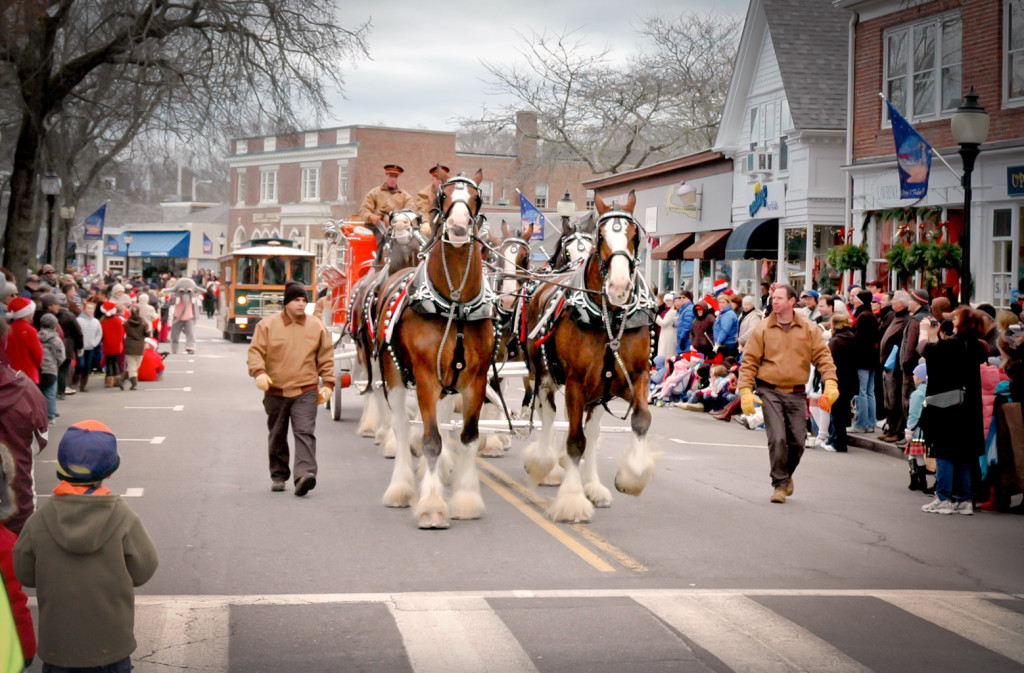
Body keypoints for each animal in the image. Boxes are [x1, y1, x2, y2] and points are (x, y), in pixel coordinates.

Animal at [374, 171, 493, 528]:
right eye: (443, 195)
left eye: (477, 196)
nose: (458, 226)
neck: (455, 302)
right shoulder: (425, 378)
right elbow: (430, 440)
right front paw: (431, 506)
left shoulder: (476, 379)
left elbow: (468, 437)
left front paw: (466, 499)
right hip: (394, 375)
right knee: (401, 427)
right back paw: (401, 487)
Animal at [520, 191, 655, 522]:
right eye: (602, 236)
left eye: (634, 235)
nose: (619, 286)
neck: (610, 318)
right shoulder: (576, 383)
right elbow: (574, 440)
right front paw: (571, 500)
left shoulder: (637, 375)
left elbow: (640, 420)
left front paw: (632, 476)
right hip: (544, 375)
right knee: (548, 415)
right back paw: (545, 465)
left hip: (597, 391)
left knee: (592, 432)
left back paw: (592, 484)